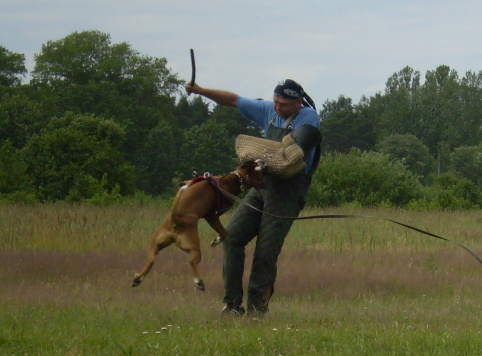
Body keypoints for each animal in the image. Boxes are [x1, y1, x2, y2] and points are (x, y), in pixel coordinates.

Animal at [133, 160, 268, 290]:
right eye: (258, 170)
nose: (264, 162)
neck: (236, 178)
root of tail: (176, 220)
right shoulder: (212, 216)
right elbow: (224, 232)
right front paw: (216, 240)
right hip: (194, 248)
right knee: (191, 263)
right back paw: (199, 282)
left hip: (155, 245)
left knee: (151, 261)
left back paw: (138, 279)